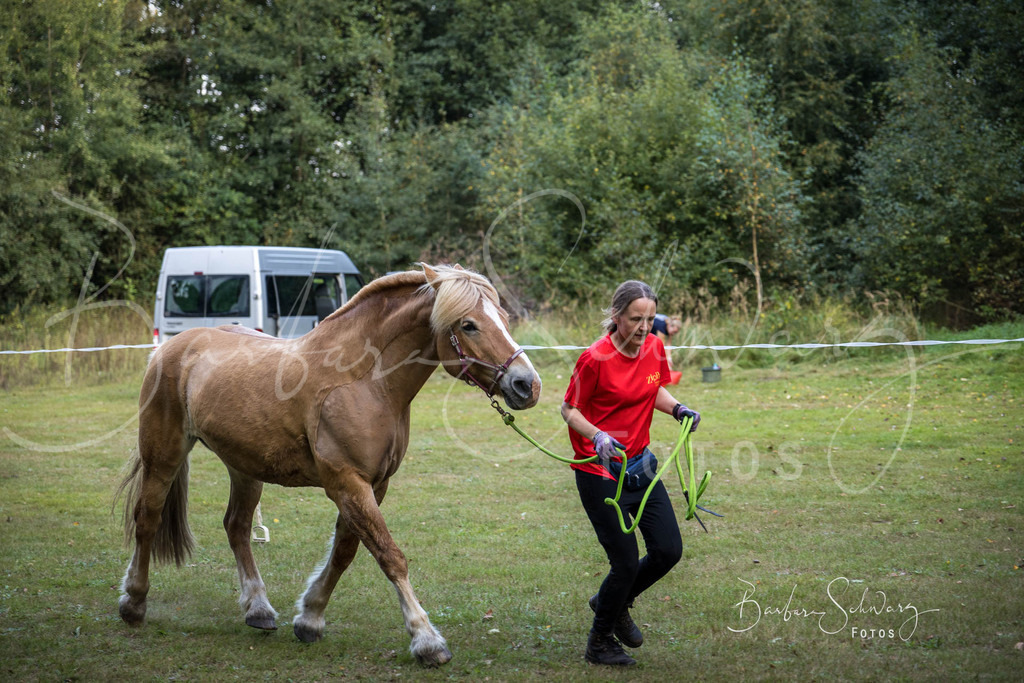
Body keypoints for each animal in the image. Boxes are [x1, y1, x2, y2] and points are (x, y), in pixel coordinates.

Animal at [116, 264, 541, 666]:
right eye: (469, 324)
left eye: (504, 317)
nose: (527, 385)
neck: (363, 380)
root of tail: (170, 347)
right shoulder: (347, 483)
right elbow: (389, 556)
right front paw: (426, 640)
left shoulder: (373, 484)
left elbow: (345, 552)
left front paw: (310, 618)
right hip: (164, 456)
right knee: (148, 518)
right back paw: (133, 602)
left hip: (245, 468)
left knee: (236, 527)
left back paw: (258, 609)